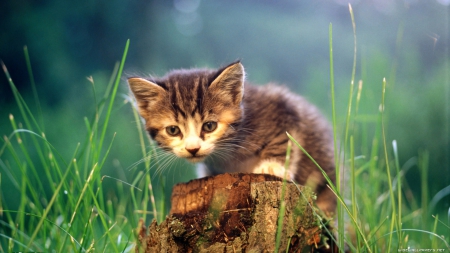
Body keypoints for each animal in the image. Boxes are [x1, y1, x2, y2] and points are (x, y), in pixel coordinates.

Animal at [126, 61, 334, 213]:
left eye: (209, 126)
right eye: (173, 130)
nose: (193, 149)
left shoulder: (284, 108)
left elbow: (283, 140)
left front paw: (272, 166)